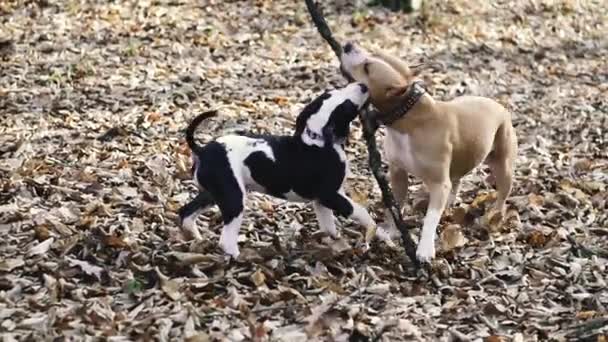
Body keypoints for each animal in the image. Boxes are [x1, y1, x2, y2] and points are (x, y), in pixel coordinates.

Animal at [178, 83, 392, 258]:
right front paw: (373, 231)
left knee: (186, 213)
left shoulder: (321, 202)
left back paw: (197, 239)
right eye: (346, 106)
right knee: (226, 239)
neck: (319, 140)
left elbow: (329, 227)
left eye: (331, 92)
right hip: (233, 198)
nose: (364, 85)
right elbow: (361, 212)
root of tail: (202, 150)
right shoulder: (330, 196)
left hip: (213, 193)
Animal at [340, 42, 516, 262]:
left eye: (367, 68)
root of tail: (500, 105)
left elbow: (431, 217)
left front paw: (424, 249)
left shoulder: (439, 183)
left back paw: (494, 215)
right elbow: (396, 205)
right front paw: (391, 230)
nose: (348, 45)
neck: (407, 115)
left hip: (503, 165)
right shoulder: (398, 174)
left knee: (502, 193)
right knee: (456, 179)